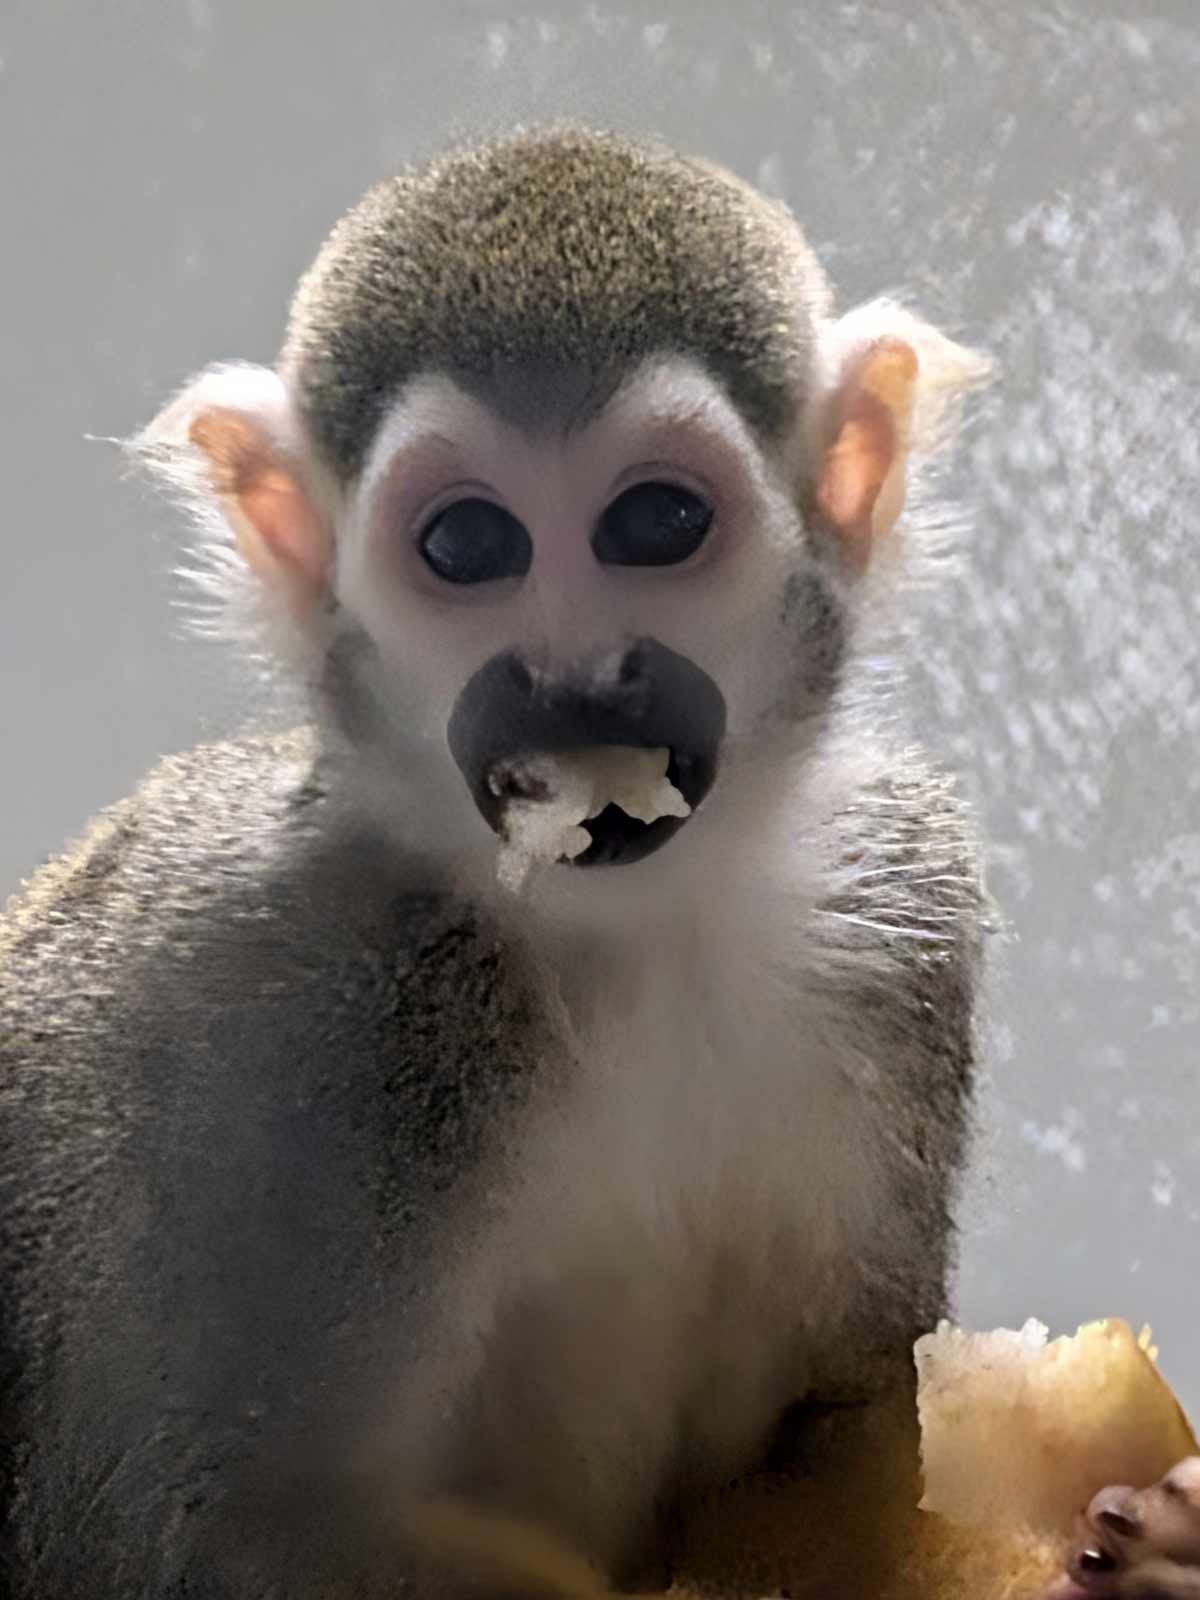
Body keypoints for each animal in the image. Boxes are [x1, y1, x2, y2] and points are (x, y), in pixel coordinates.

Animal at [1, 124, 1185, 1599]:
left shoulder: (902, 908)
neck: (625, 930)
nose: (576, 687)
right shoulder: (290, 1019)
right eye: (466, 545)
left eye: (657, 523)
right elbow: (218, 1528)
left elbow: (843, 1420)